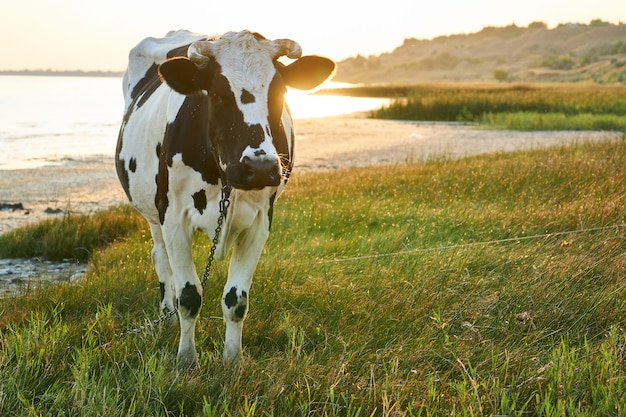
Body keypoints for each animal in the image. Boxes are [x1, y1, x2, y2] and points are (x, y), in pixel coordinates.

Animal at [114, 30, 334, 368]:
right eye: (217, 95)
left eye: (280, 93)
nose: (259, 167)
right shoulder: (174, 218)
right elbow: (189, 296)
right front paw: (186, 361)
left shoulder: (260, 222)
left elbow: (236, 299)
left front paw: (232, 361)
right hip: (152, 212)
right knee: (160, 259)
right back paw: (167, 317)